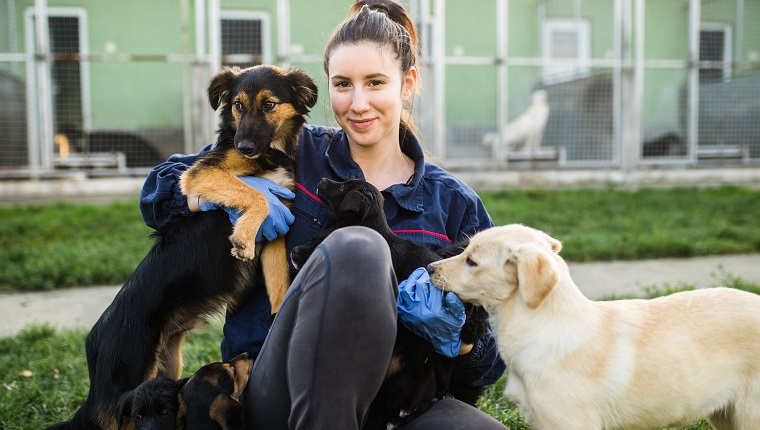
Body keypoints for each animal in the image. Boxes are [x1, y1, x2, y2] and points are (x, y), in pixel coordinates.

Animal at [48, 64, 318, 430]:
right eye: (237, 105)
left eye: (269, 105)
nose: (244, 146)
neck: (268, 154)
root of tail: (94, 344)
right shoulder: (201, 175)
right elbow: (256, 194)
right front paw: (242, 238)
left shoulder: (278, 229)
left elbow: (279, 284)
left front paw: (278, 317)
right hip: (128, 386)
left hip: (166, 370)